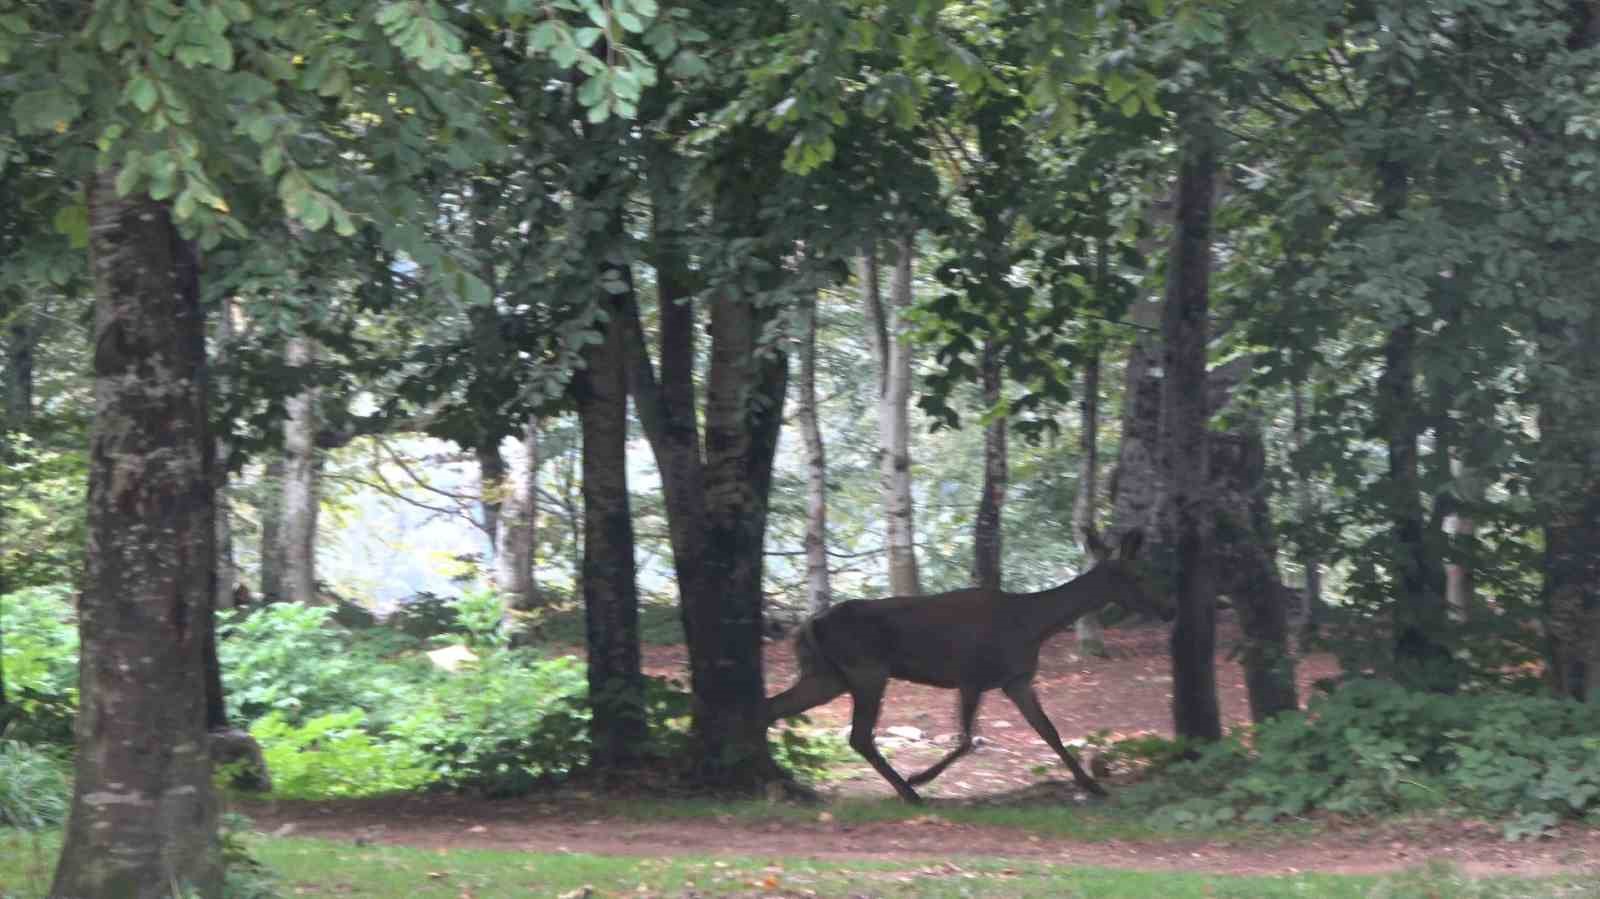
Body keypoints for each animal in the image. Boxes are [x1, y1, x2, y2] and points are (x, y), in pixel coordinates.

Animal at [764, 524, 1177, 796]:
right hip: (866, 669)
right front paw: (920, 777)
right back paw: (908, 791)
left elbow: (1050, 731)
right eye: (1138, 576)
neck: (1033, 625)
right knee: (859, 735)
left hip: (827, 675)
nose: (1167, 610)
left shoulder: (1016, 679)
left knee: (773, 706)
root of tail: (809, 624)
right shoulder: (971, 675)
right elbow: (967, 739)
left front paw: (1091, 784)